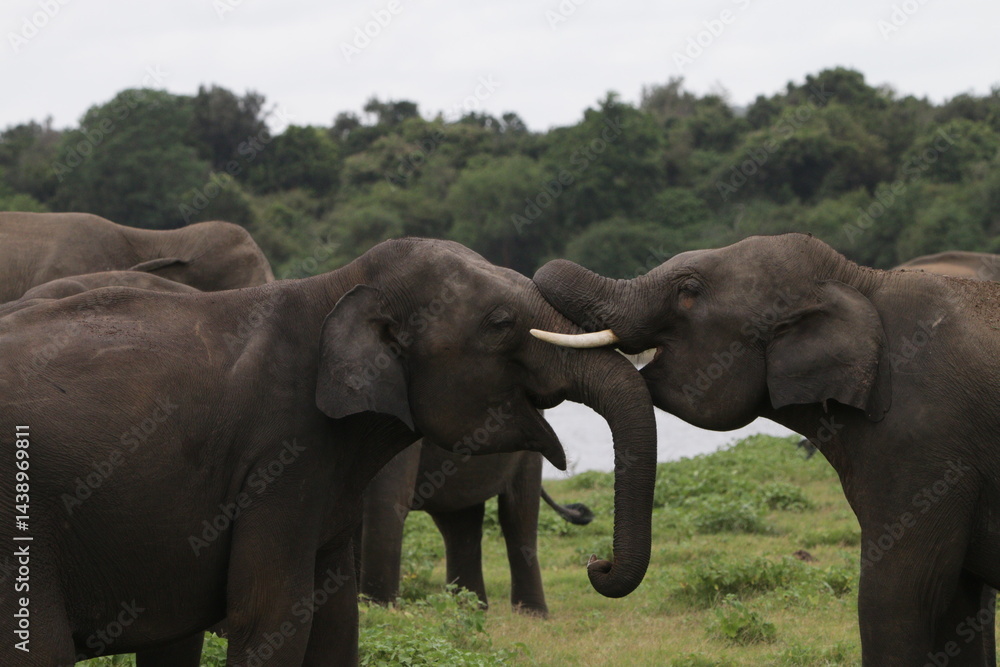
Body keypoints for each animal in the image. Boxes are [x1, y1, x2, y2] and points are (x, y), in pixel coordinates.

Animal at [531, 233, 1000, 666]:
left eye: (689, 291)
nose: (597, 561)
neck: (857, 280)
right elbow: (957, 605)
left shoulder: (925, 445)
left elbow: (899, 593)